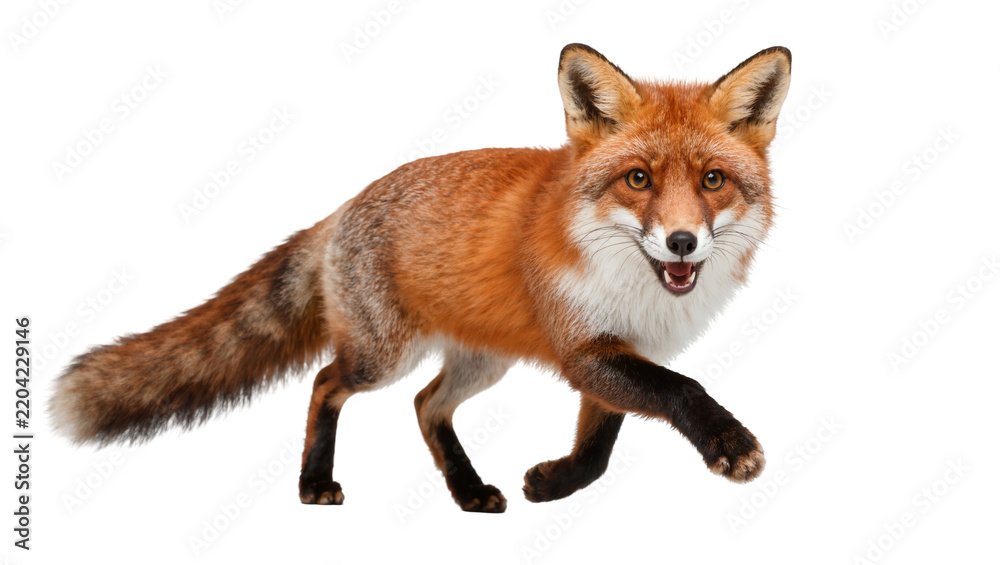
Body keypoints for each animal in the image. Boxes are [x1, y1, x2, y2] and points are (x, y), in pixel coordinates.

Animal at [52, 44, 791, 513]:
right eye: (638, 179)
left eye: (712, 181)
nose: (682, 241)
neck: (634, 288)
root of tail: (342, 208)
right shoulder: (584, 348)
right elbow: (681, 389)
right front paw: (730, 443)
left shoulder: (614, 356)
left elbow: (600, 448)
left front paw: (553, 485)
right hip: (382, 355)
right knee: (326, 383)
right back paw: (314, 483)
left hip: (481, 361)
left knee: (426, 405)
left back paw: (467, 491)